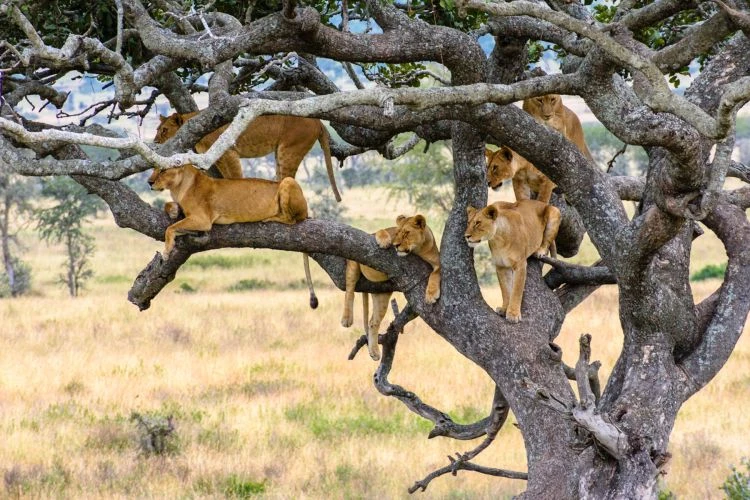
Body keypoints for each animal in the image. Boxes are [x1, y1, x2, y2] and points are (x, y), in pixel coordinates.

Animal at [148, 164, 319, 309]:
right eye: (154, 168)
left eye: (163, 170)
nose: (149, 182)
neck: (178, 187)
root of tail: (307, 211)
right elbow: (171, 216)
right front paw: (172, 210)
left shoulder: (203, 220)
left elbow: (170, 228)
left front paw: (166, 251)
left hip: (288, 181)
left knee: (292, 219)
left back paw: (270, 218)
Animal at [154, 111, 342, 201]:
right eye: (157, 129)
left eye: (164, 130)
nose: (155, 142)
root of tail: (318, 121)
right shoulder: (217, 158)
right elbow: (226, 178)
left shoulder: (229, 152)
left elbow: (235, 177)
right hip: (280, 152)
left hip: (289, 150)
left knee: (288, 178)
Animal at [341, 214, 441, 361]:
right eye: (397, 233)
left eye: (406, 233)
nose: (396, 245)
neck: (417, 250)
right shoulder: (381, 233)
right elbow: (380, 231)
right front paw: (384, 240)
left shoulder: (437, 261)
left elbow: (436, 273)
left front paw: (432, 294)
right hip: (353, 264)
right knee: (349, 291)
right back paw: (346, 319)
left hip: (381, 295)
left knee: (373, 322)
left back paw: (374, 352)